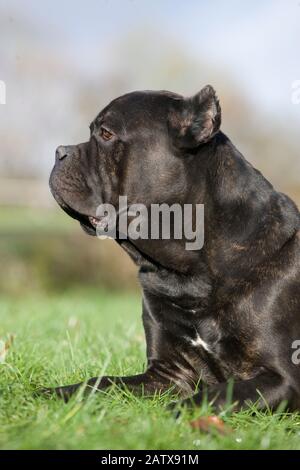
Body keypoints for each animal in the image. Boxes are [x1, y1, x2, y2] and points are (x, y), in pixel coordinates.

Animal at [49, 86, 300, 410]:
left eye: (105, 133)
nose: (59, 151)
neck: (186, 273)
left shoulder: (282, 378)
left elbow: (214, 395)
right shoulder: (168, 373)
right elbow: (102, 382)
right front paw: (52, 393)